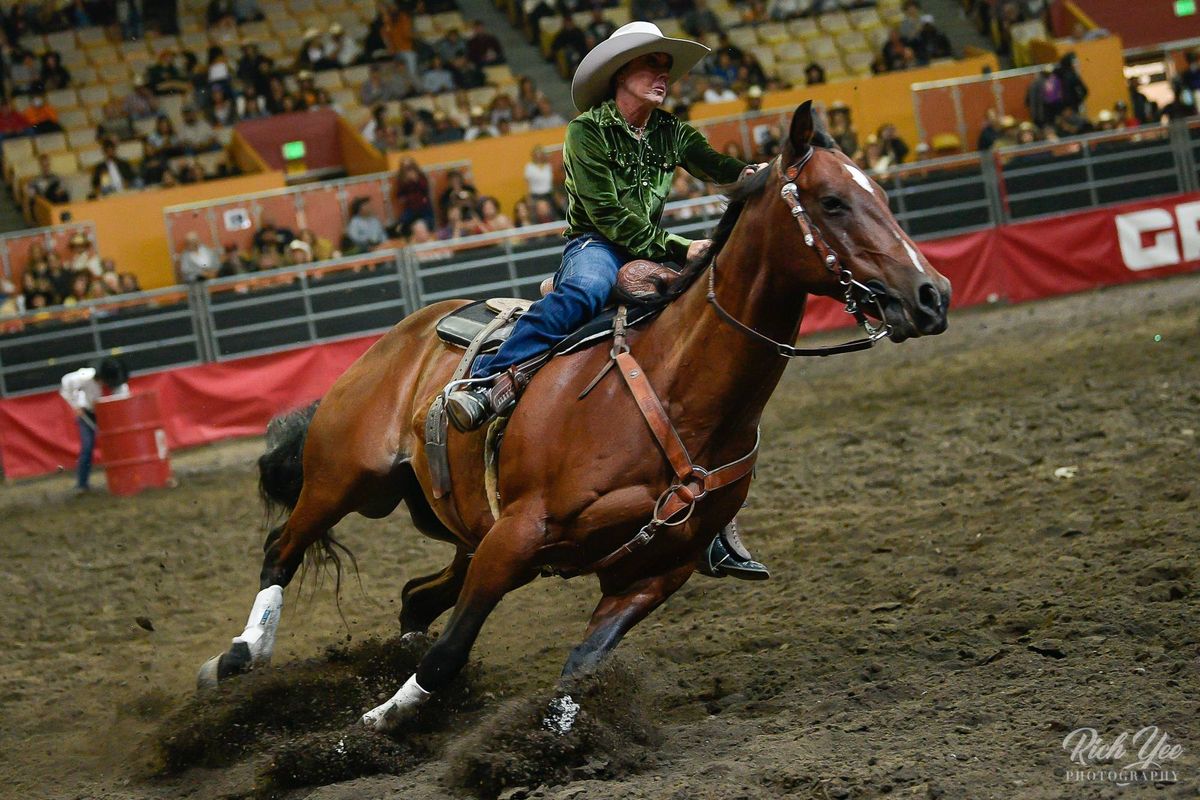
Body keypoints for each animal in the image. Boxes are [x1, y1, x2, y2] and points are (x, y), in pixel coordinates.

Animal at [196, 101, 950, 734]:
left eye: (883, 195)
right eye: (832, 201)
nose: (932, 294)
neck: (674, 390)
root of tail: (392, 342)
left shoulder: (653, 572)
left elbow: (579, 670)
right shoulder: (518, 536)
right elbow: (449, 653)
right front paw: (375, 725)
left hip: (459, 528)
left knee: (414, 598)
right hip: (346, 480)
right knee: (282, 550)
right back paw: (237, 658)